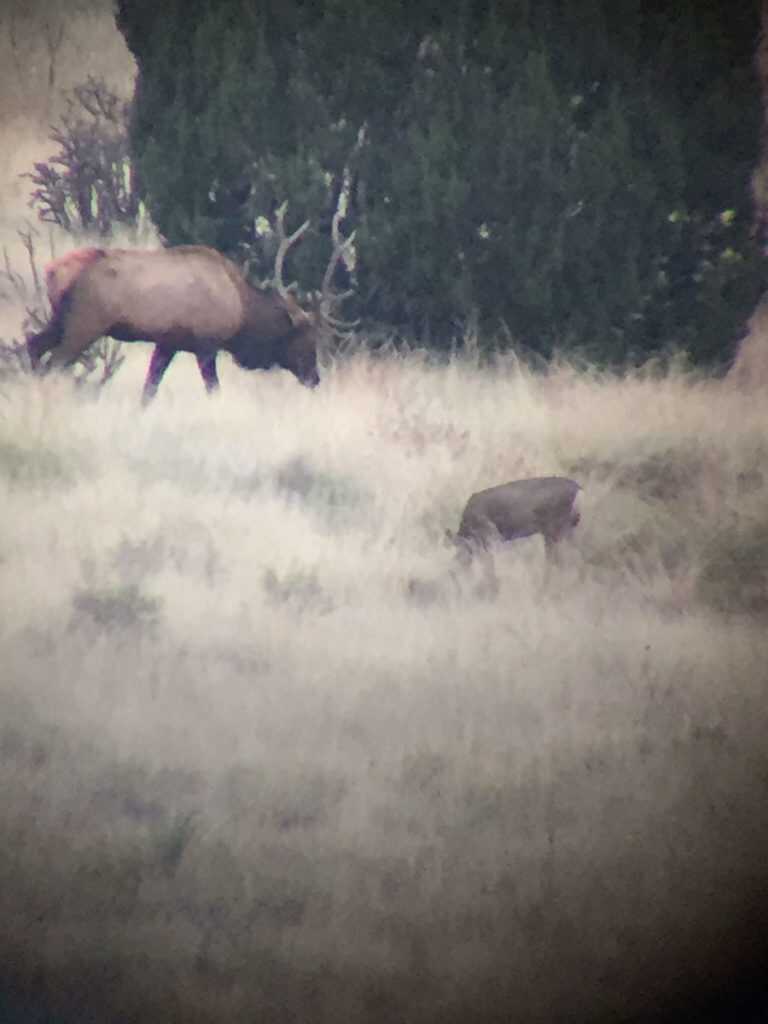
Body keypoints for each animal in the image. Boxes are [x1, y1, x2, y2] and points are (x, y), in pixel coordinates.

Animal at [26, 203, 356, 404]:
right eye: (305, 338)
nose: (315, 378)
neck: (241, 311)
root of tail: (53, 272)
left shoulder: (168, 342)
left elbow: (149, 389)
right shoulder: (206, 345)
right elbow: (213, 390)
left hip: (60, 320)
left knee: (33, 345)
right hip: (85, 323)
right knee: (54, 360)